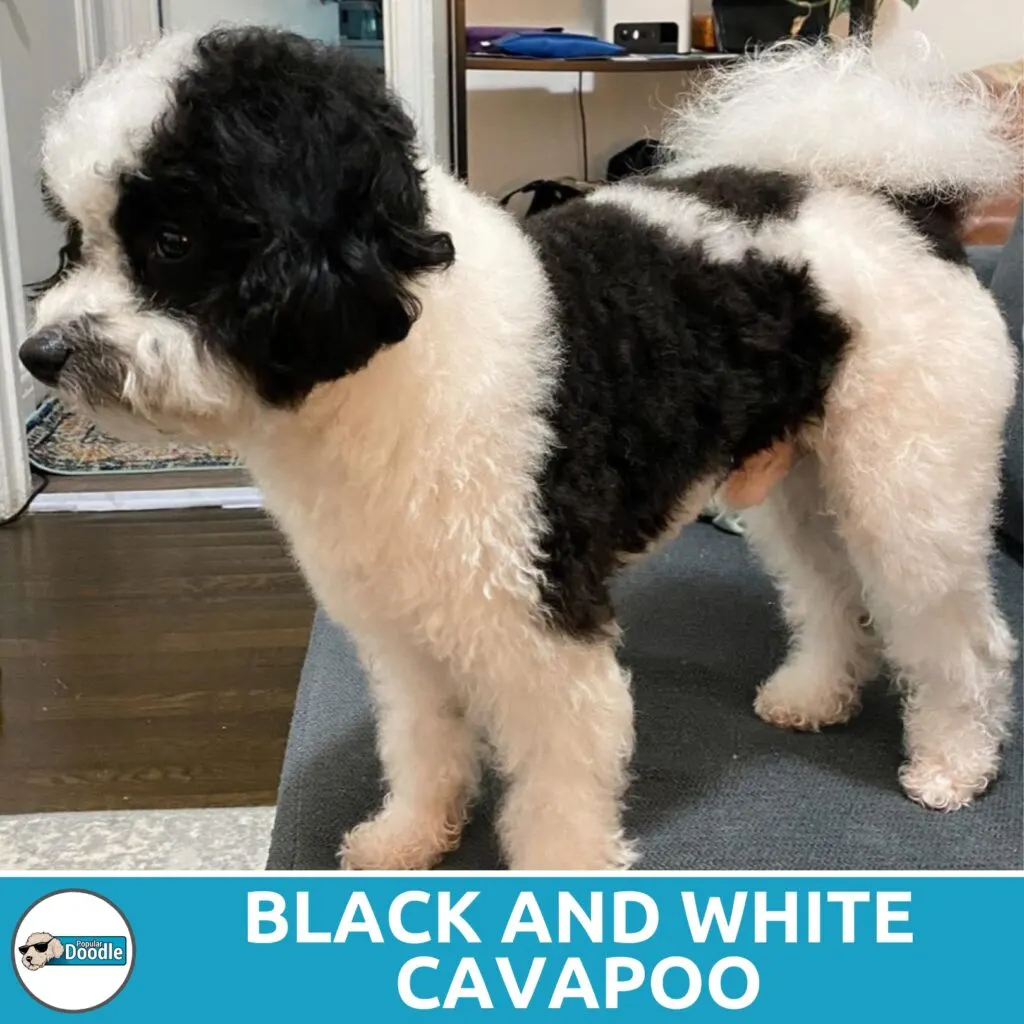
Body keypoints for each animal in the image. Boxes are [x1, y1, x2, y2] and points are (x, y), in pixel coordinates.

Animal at [22, 28, 1015, 868]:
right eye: (76, 240)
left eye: (173, 239)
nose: (40, 354)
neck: (385, 365)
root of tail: (896, 199)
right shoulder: (401, 628)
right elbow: (420, 744)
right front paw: (409, 837)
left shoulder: (543, 626)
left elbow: (560, 790)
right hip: (800, 483)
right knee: (829, 592)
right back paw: (814, 694)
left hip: (909, 492)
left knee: (958, 640)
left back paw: (954, 763)